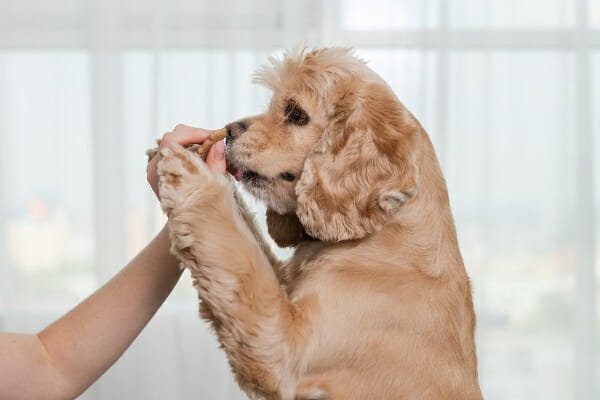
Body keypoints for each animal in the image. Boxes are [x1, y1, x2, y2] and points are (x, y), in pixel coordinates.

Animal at [158, 47, 482, 400]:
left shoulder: (284, 349)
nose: (229, 130)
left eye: (296, 113)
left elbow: (238, 255)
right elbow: (245, 243)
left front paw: (192, 174)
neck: (385, 235)